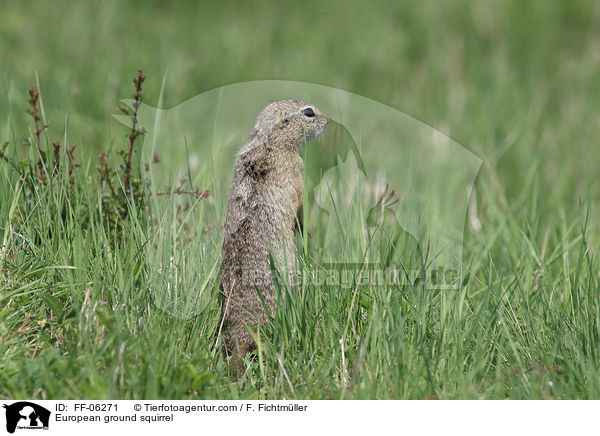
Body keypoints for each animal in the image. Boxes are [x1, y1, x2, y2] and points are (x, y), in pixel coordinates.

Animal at [219, 99, 326, 372]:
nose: (327, 120)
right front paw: (304, 229)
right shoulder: (295, 171)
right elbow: (298, 204)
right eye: (308, 112)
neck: (269, 143)